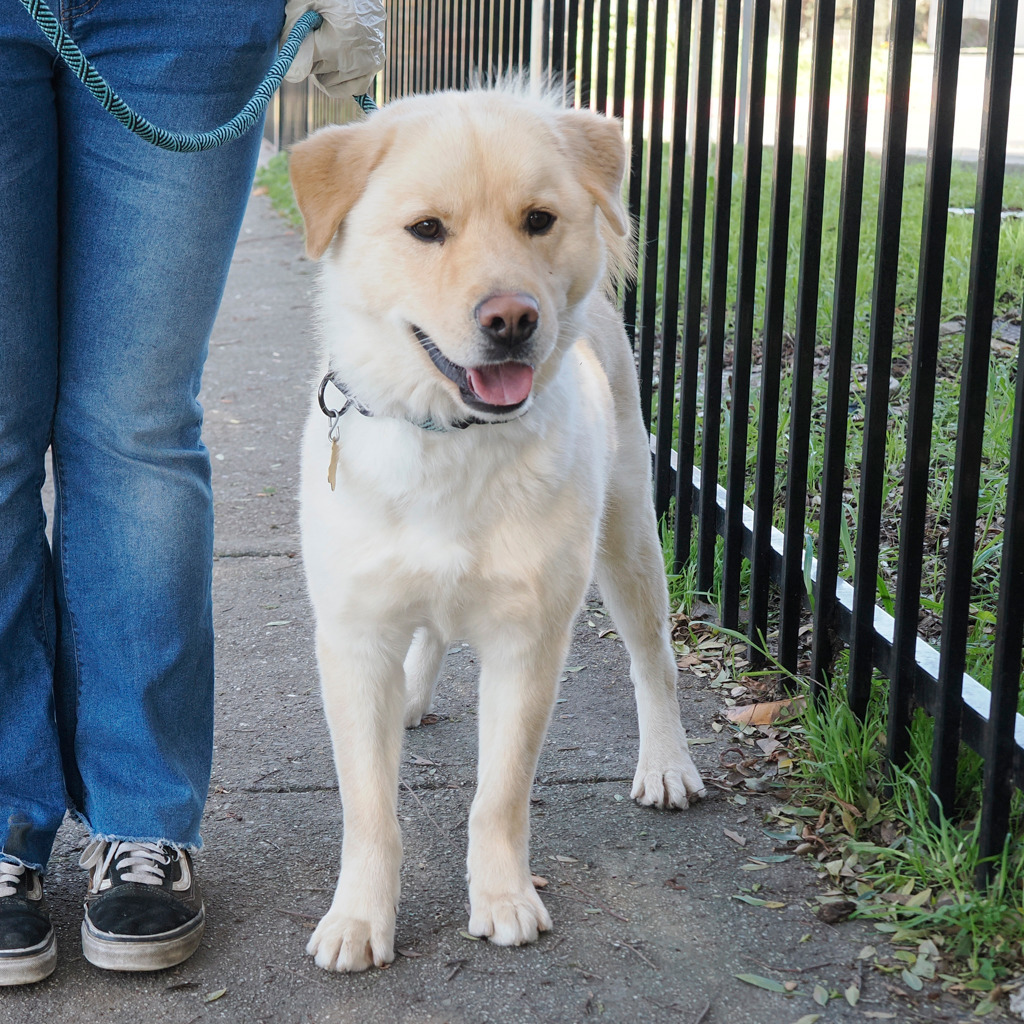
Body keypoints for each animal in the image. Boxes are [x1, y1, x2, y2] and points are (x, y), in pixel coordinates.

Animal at [286, 83, 704, 970]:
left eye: (538, 219)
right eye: (426, 229)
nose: (511, 318)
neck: (452, 437)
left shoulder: (529, 639)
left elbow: (499, 794)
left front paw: (503, 897)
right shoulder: (355, 638)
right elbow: (369, 807)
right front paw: (360, 915)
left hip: (629, 544)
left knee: (654, 662)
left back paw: (667, 763)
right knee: (431, 637)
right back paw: (413, 695)